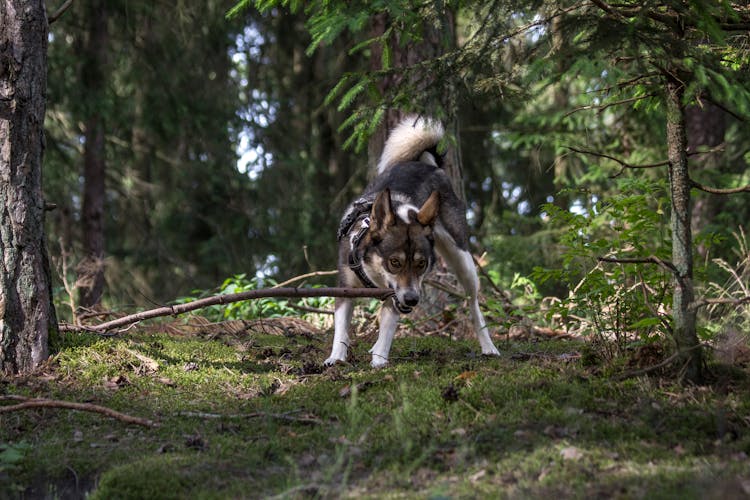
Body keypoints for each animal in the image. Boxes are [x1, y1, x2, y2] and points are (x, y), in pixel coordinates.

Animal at [326, 116, 502, 368]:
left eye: (421, 264)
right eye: (395, 262)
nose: (412, 300)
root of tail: (428, 164)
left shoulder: (396, 295)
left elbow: (387, 328)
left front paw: (379, 360)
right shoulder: (346, 289)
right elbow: (341, 328)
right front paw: (336, 357)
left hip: (462, 259)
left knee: (474, 303)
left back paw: (488, 346)